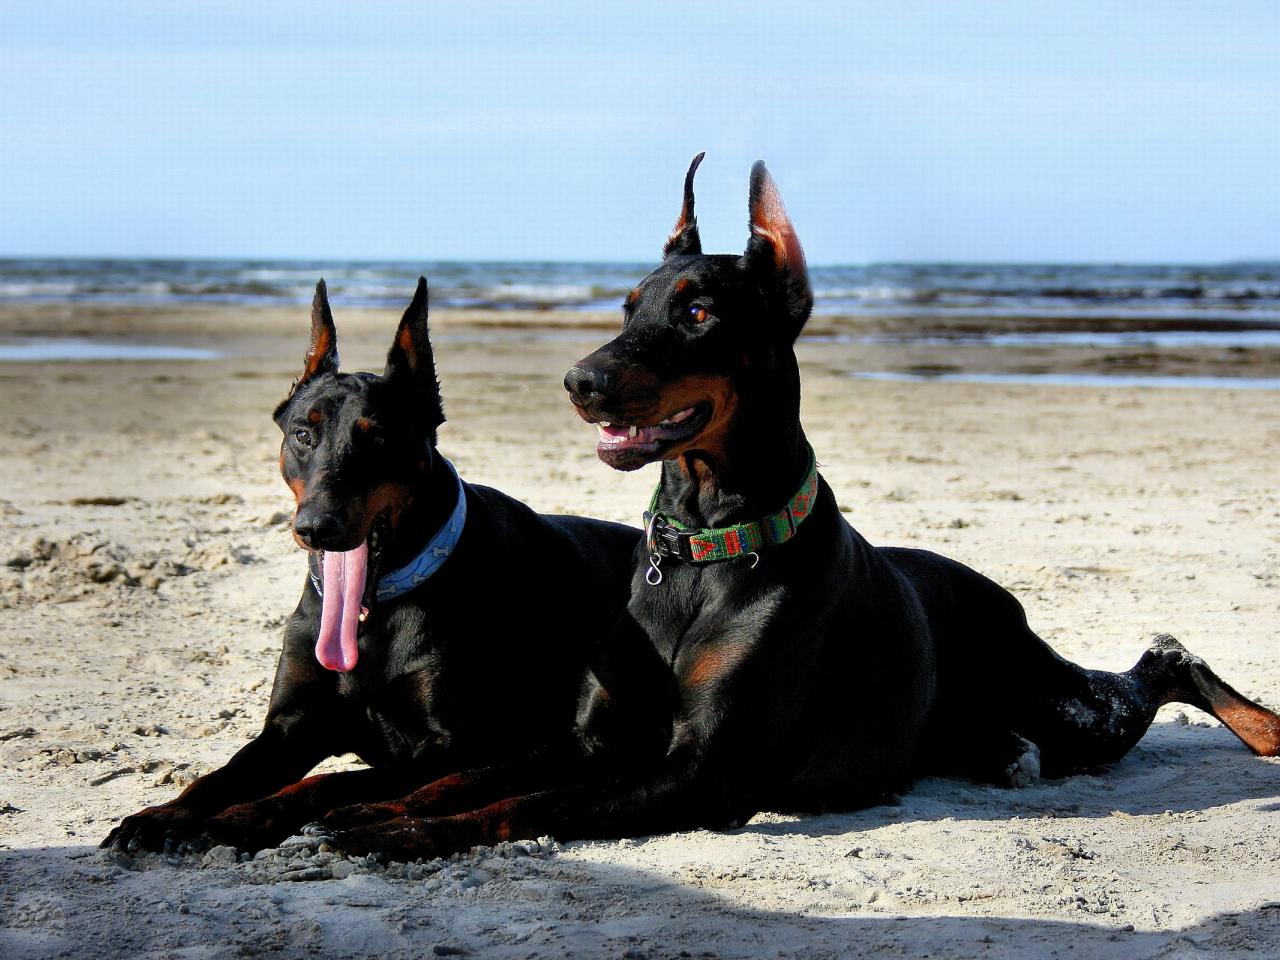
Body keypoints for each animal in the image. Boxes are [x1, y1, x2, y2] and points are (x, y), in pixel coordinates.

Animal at [102, 277, 637, 855]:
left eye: (377, 437)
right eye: (303, 434)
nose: (316, 526)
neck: (376, 609)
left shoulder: (451, 746)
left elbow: (325, 783)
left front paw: (243, 817)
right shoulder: (291, 726)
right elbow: (216, 777)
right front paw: (162, 816)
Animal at [312, 158, 1280, 865]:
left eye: (699, 310)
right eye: (627, 305)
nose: (579, 380)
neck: (705, 547)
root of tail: (992, 589)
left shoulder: (704, 773)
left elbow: (527, 803)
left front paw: (396, 832)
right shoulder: (591, 735)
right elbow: (469, 777)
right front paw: (359, 809)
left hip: (1066, 705)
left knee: (1160, 667)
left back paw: (1260, 728)